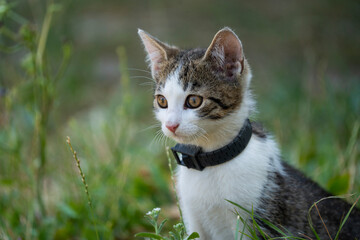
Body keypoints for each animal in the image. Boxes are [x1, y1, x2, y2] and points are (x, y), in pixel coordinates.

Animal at [139, 27, 360, 239]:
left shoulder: (259, 220)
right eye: (162, 101)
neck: (211, 161)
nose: (170, 125)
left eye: (194, 101)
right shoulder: (192, 218)